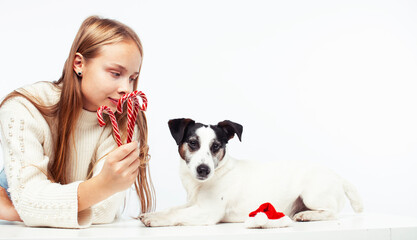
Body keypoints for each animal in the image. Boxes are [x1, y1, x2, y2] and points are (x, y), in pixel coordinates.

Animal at [139, 118, 360, 227]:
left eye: (216, 146)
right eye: (193, 143)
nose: (203, 169)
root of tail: (338, 176)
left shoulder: (207, 212)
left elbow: (176, 215)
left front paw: (156, 220)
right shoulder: (192, 203)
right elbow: (172, 209)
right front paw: (153, 214)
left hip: (312, 195)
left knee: (331, 213)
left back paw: (307, 215)